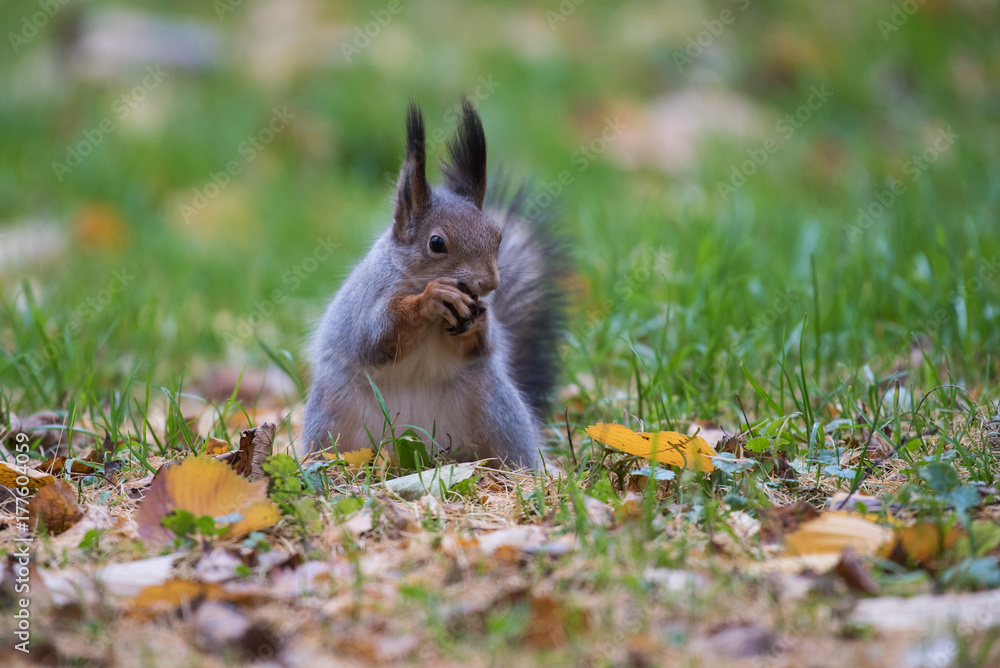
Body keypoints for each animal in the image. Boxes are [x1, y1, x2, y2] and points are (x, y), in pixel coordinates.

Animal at [299, 100, 565, 468]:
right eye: (436, 243)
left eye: (497, 237)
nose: (490, 282)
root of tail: (421, 450)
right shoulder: (368, 301)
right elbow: (377, 336)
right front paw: (430, 299)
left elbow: (481, 345)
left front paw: (478, 319)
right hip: (332, 416)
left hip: (498, 410)